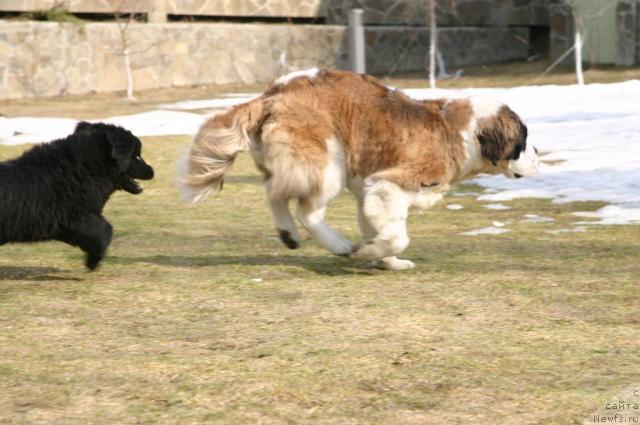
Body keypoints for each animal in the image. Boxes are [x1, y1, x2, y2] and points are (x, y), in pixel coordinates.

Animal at [0, 121, 154, 270]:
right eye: (136, 155)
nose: (152, 170)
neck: (85, 168)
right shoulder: (77, 218)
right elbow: (106, 230)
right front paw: (93, 261)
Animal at [178, 69, 536, 268]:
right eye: (523, 140)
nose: (537, 153)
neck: (461, 131)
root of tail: (273, 93)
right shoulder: (390, 183)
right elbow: (397, 235)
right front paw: (368, 252)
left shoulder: (371, 191)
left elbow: (381, 225)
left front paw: (389, 263)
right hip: (328, 163)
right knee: (306, 209)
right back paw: (336, 244)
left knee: (274, 192)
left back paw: (288, 233)